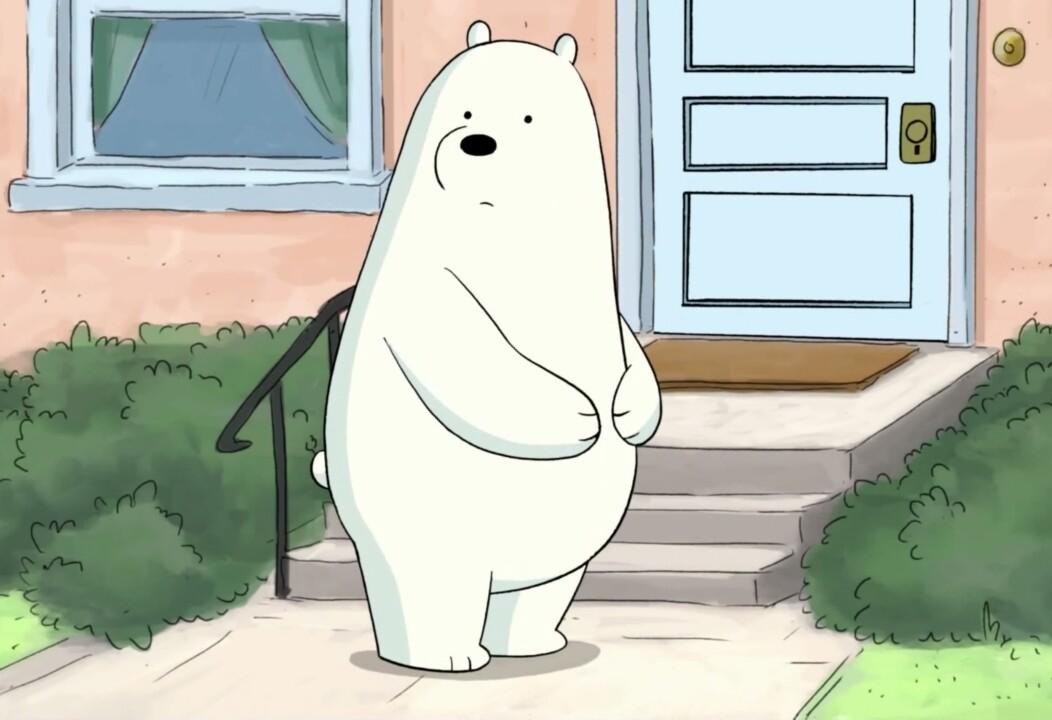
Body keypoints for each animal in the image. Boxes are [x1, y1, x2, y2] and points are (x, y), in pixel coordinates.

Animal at [315, 20, 662, 673]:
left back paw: (531, 642)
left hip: (555, 540)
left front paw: (628, 410)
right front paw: (579, 415)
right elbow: (463, 345)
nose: (476, 143)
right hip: (423, 519)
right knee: (429, 583)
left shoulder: (599, 299)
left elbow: (630, 344)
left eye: (528, 115)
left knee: (540, 590)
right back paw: (446, 655)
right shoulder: (426, 282)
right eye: (465, 109)